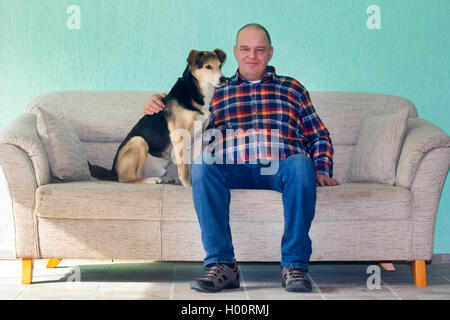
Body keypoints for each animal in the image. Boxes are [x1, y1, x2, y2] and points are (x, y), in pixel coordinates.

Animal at [89, 48, 227, 186]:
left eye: (220, 65)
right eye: (208, 66)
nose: (223, 79)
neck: (196, 91)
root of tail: (113, 172)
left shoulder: (199, 137)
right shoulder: (179, 136)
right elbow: (184, 168)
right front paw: (188, 185)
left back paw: (164, 179)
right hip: (138, 141)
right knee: (127, 179)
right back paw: (152, 180)